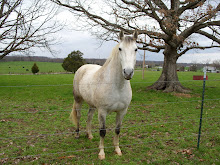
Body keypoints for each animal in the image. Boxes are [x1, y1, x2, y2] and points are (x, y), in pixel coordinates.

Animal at [70, 30, 138, 160]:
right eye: (120, 48)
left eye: (136, 49)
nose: (128, 72)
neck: (117, 86)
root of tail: (83, 67)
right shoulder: (102, 111)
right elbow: (102, 131)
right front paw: (101, 153)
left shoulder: (122, 111)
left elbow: (117, 130)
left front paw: (117, 150)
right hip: (78, 100)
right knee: (79, 116)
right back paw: (77, 134)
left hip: (92, 105)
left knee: (89, 117)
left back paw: (89, 135)